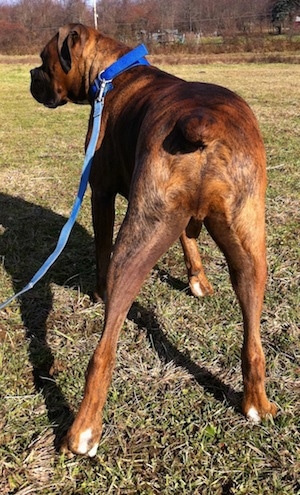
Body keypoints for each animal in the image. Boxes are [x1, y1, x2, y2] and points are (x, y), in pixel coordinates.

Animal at [30, 23, 276, 458]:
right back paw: (256, 404)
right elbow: (188, 240)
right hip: (250, 249)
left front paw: (98, 290)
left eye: (44, 60)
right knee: (253, 339)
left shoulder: (101, 192)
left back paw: (83, 432)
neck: (113, 71)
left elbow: (100, 246)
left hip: (135, 241)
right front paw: (198, 281)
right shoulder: (182, 218)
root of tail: (203, 120)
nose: (30, 75)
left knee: (104, 350)